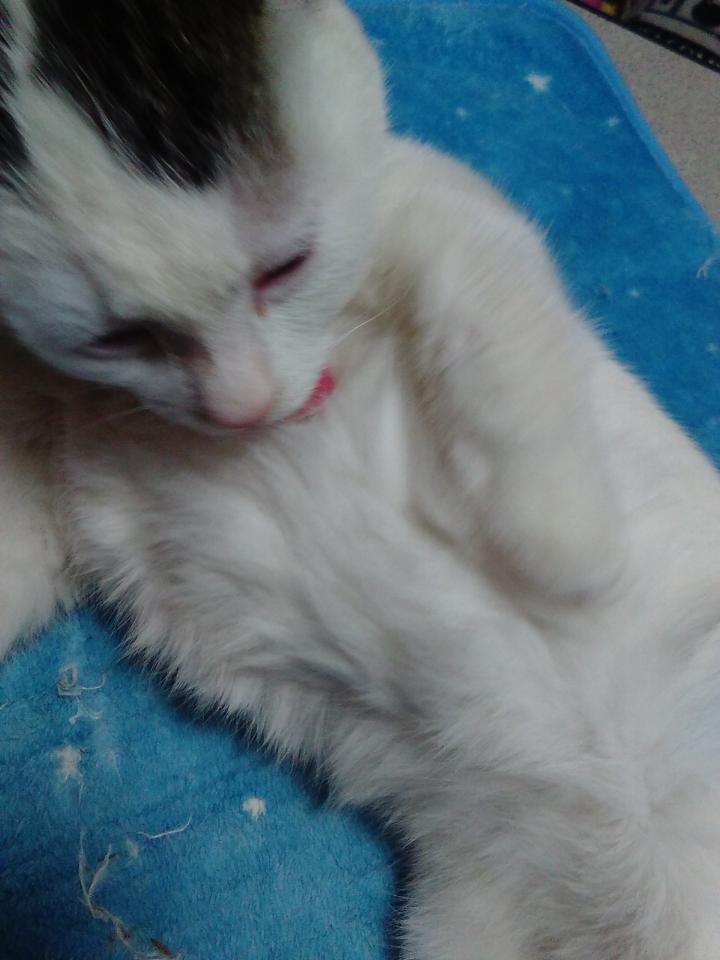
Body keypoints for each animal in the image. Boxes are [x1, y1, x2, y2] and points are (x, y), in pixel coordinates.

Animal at [2, 1, 720, 958]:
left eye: (286, 266)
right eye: (115, 336)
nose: (242, 405)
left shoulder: (435, 204)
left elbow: (493, 334)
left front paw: (563, 544)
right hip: (467, 923)